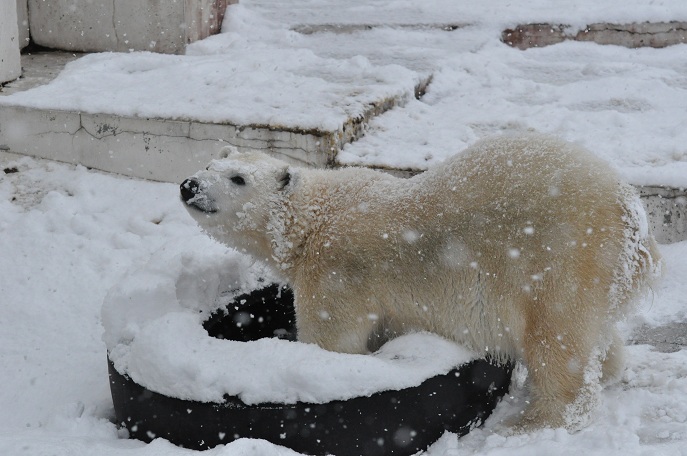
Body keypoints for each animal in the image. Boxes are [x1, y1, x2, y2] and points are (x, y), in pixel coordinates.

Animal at [179, 134, 660, 432]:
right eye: (208, 163)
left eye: (238, 178)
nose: (189, 185)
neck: (315, 218)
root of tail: (631, 213)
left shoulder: (336, 271)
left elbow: (334, 342)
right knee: (592, 331)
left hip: (559, 252)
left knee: (556, 336)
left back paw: (532, 423)